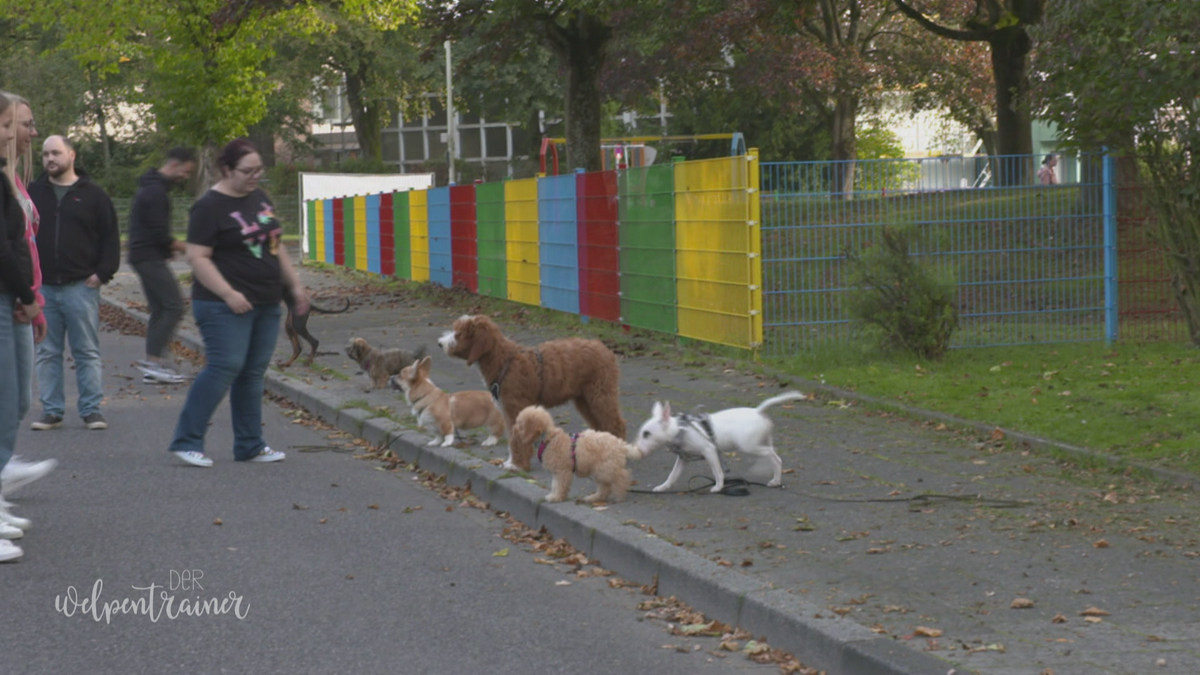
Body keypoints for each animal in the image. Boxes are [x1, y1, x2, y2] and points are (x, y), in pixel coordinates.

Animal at [439, 314, 628, 468]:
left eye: (458, 334)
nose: (440, 343)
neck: (503, 360)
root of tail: (605, 349)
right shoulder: (508, 409)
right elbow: (512, 437)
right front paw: (511, 462)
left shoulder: (515, 407)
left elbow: (516, 438)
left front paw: (516, 465)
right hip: (585, 399)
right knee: (601, 424)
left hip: (600, 393)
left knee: (616, 423)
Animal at [513, 403, 652, 499]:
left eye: (520, 424)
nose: (513, 429)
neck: (548, 438)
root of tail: (621, 444)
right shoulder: (558, 471)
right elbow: (555, 484)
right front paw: (554, 495)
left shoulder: (562, 470)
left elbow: (559, 484)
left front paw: (556, 497)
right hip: (599, 469)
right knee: (605, 486)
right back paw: (594, 497)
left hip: (604, 467)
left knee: (622, 476)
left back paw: (620, 493)